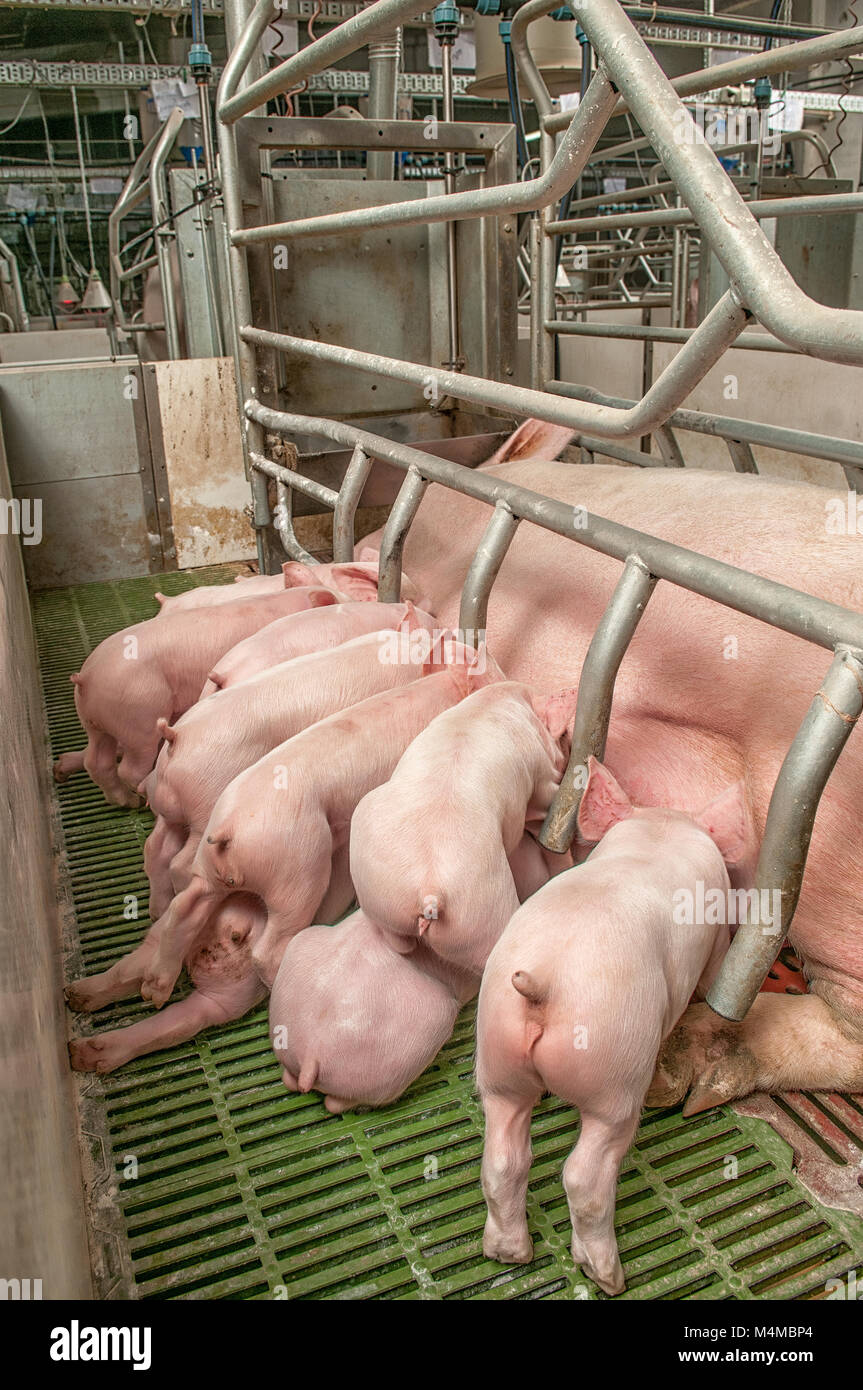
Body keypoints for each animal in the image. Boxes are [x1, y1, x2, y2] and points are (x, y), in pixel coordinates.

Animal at [52, 587, 344, 808]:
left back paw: (120, 800)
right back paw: (140, 800)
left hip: (94, 722)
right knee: (129, 767)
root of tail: (87, 676)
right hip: (139, 716)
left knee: (96, 760)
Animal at [138, 640, 504, 1008]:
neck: (443, 689)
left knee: (183, 896)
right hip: (298, 871)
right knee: (265, 947)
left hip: (209, 860)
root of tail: (229, 828)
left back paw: (153, 989)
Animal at [351, 680, 579, 977]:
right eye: (563, 734)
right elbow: (543, 802)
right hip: (483, 911)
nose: (571, 742)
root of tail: (429, 892)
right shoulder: (539, 779)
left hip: (378, 894)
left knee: (399, 943)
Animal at [475, 757, 749, 1294]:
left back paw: (508, 1254)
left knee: (502, 1158)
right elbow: (714, 973)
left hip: (497, 1058)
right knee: (583, 1175)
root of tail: (543, 984)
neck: (658, 831)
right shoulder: (716, 932)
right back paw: (608, 1276)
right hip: (614, 1073)